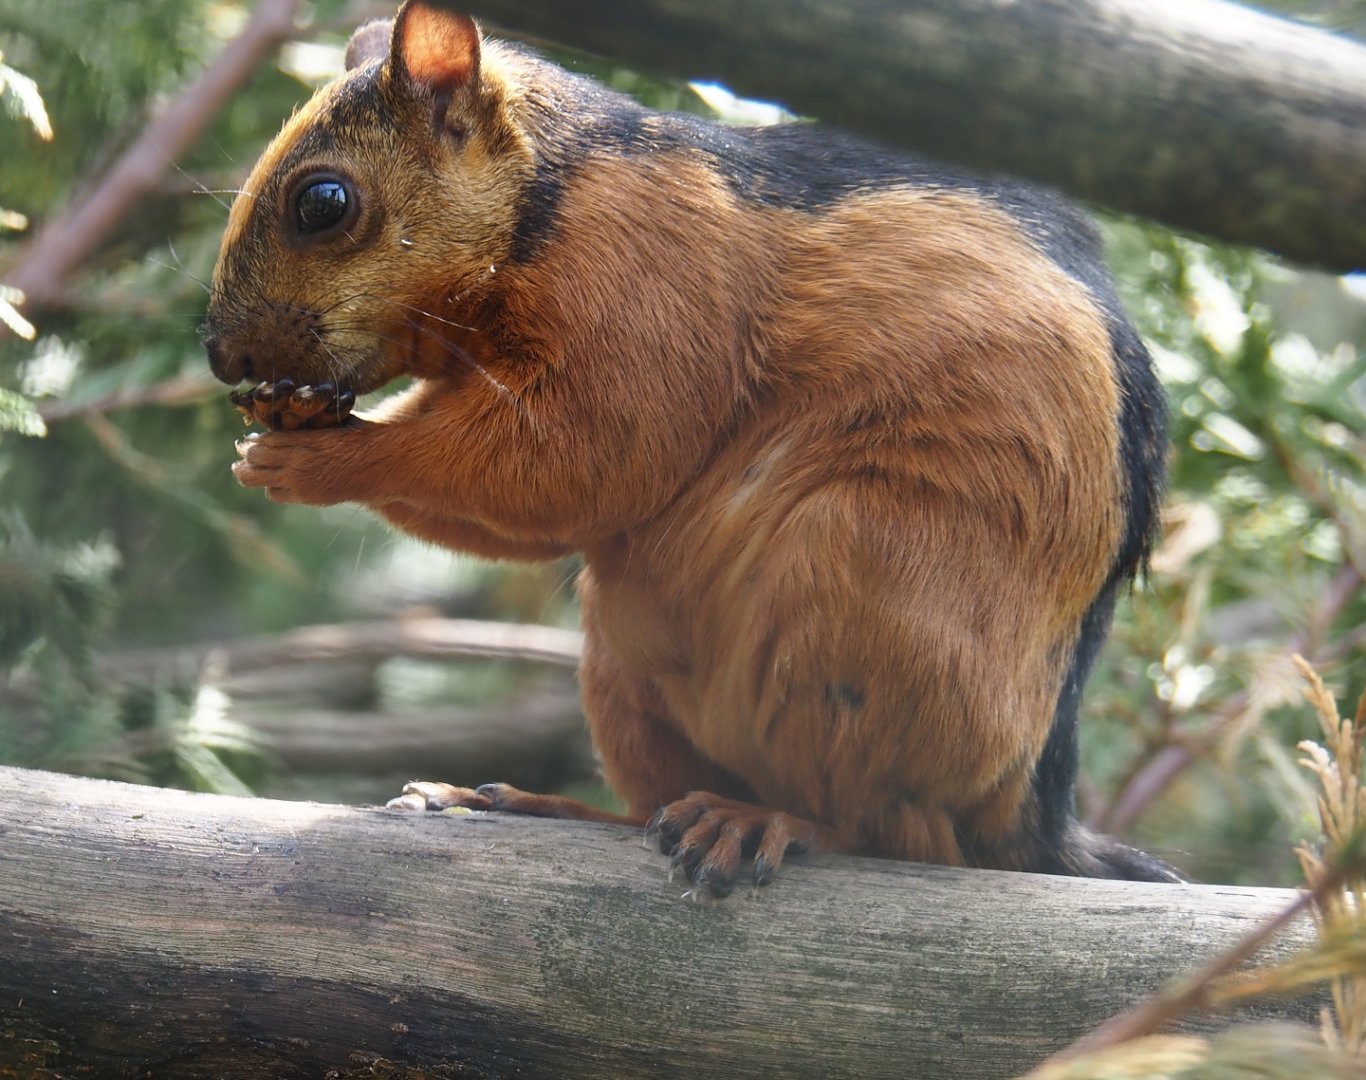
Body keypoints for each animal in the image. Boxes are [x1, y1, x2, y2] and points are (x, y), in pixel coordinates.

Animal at [203, 0, 1182, 894]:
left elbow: (581, 462)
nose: (222, 358)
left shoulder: (648, 291)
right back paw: (532, 805)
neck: (550, 200)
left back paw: (765, 822)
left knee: (886, 832)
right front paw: (289, 420)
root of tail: (1024, 814)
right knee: (652, 803)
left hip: (857, 598)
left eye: (323, 203)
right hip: (624, 659)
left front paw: (319, 458)